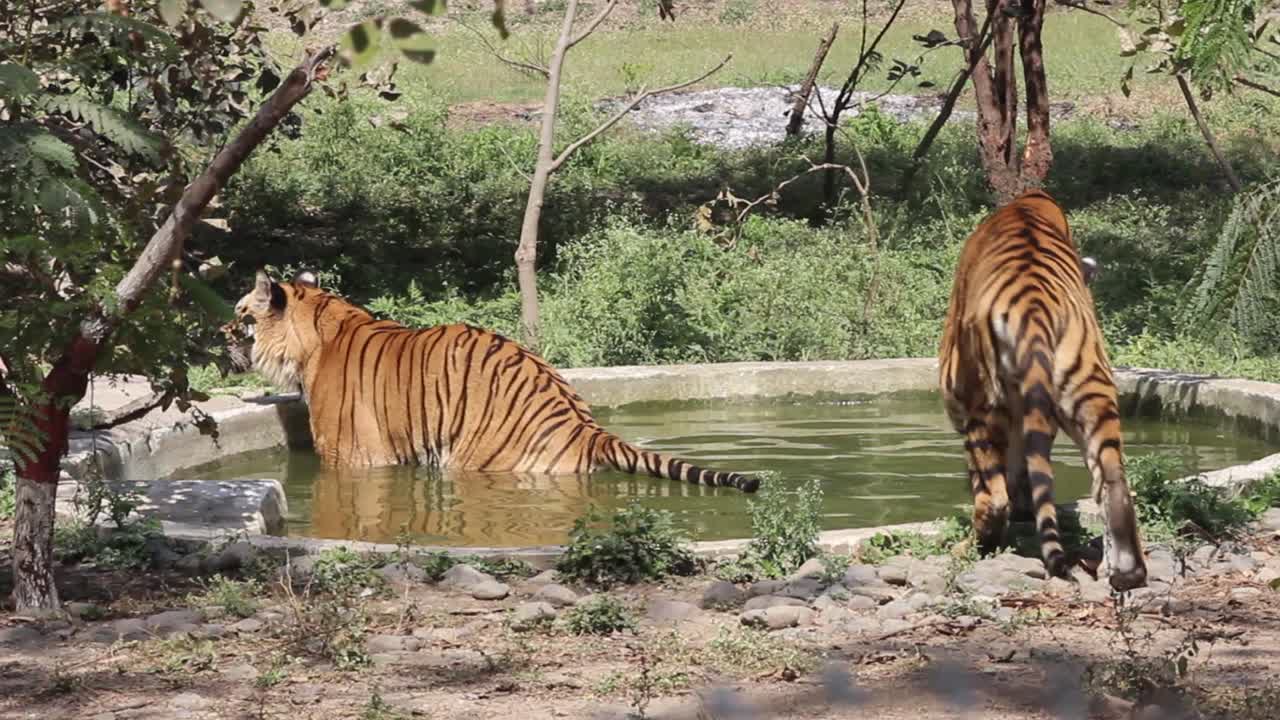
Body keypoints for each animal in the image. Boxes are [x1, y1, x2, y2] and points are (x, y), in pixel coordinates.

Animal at [937, 189, 1147, 592]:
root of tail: (1035, 311)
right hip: (1091, 390)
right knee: (1112, 477)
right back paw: (1127, 571)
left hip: (982, 406)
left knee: (993, 497)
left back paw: (969, 546)